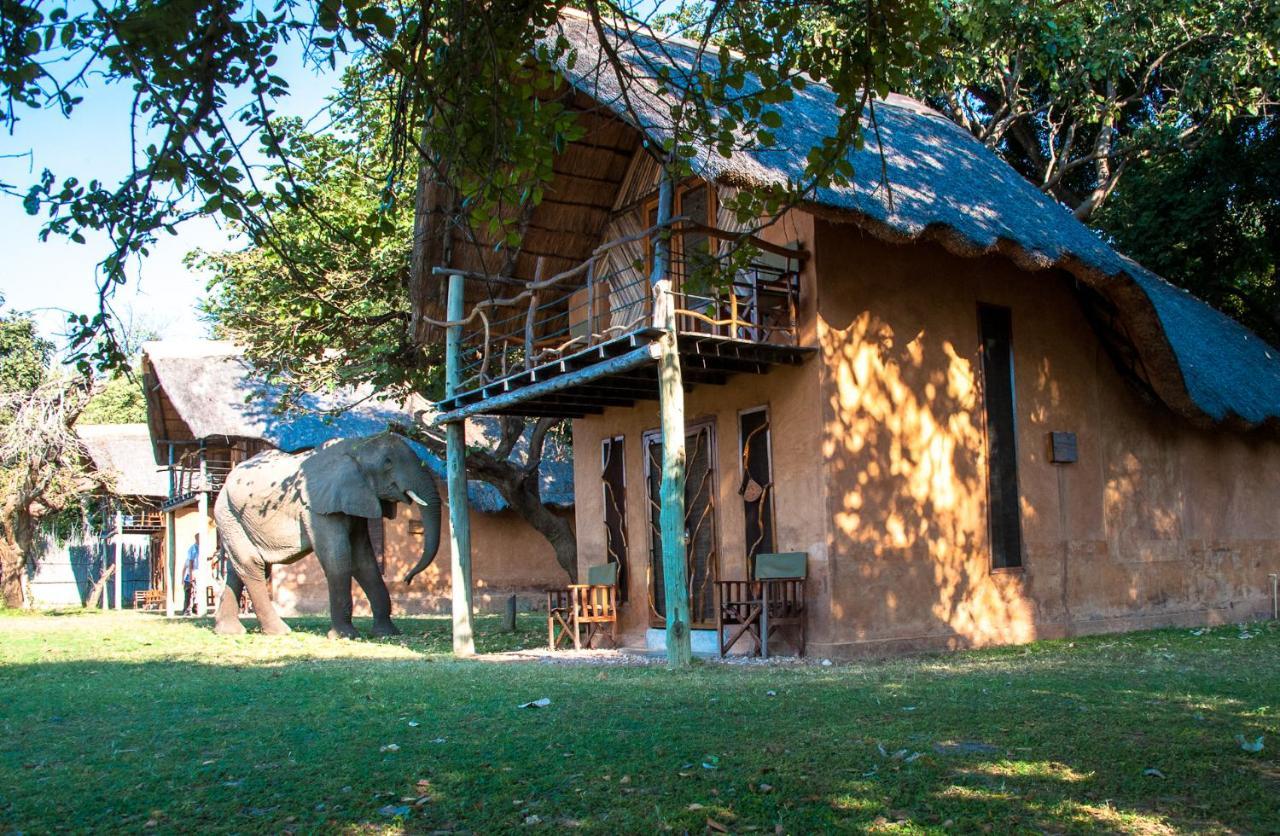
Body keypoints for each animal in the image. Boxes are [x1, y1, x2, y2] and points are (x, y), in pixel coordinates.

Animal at [212, 432, 442, 635]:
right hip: (227, 512)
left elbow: (363, 560)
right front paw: (345, 635)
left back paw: (229, 632)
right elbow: (337, 557)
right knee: (252, 564)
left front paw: (387, 633)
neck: (355, 445)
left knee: (239, 568)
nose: (407, 579)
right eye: (387, 463)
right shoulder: (316, 507)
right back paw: (279, 632)